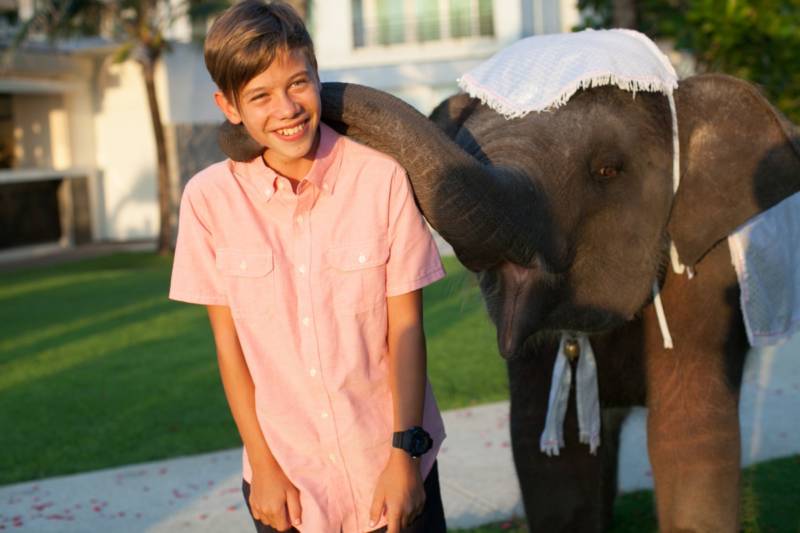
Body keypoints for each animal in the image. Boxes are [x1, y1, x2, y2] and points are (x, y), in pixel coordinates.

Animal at [219, 70, 800, 528]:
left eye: (608, 170)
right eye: (464, 141)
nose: (245, 132)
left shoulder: (705, 274)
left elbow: (689, 437)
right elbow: (553, 453)